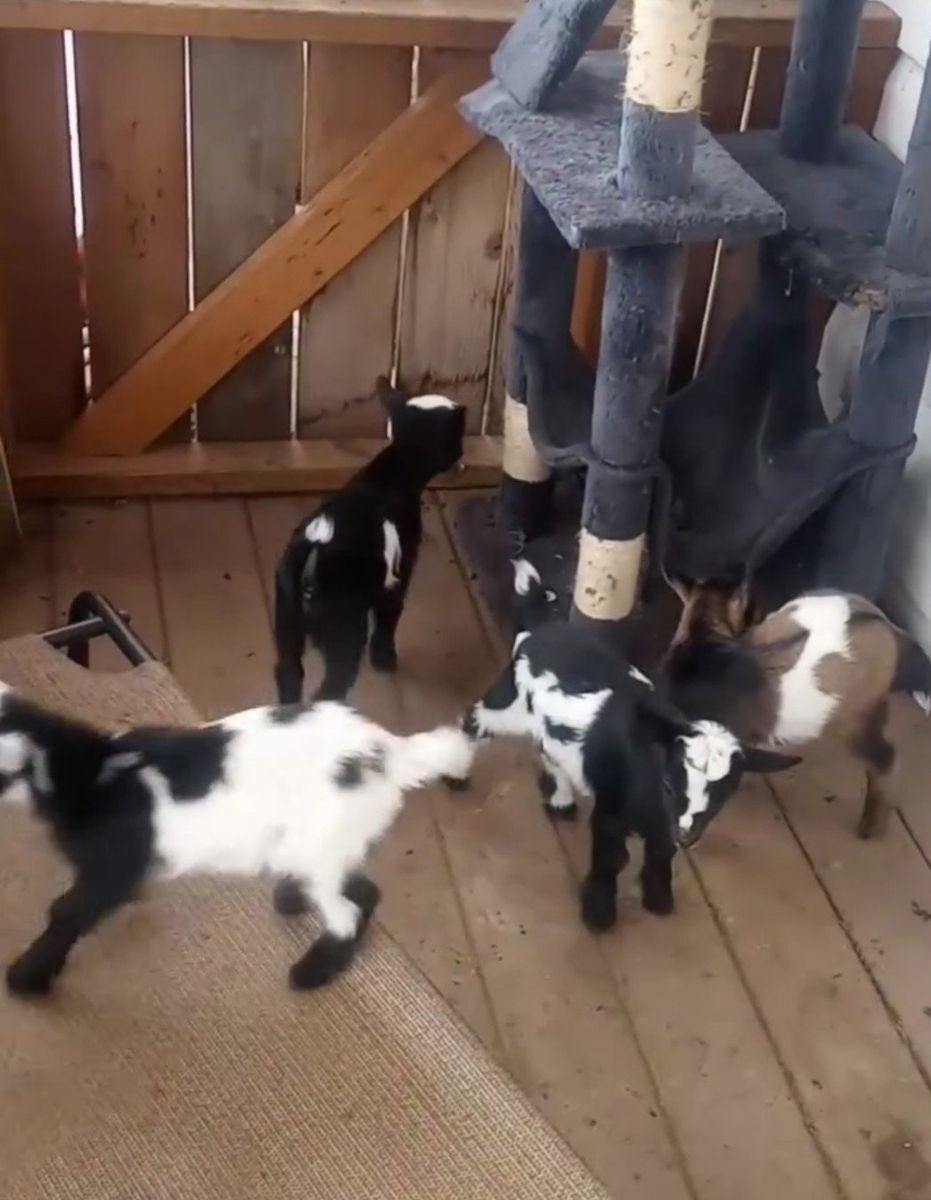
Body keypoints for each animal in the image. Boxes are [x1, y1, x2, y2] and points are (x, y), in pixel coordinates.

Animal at [0, 683, 473, 997]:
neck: (88, 769)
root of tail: (388, 752)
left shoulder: (107, 873)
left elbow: (64, 913)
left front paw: (28, 976)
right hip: (316, 844)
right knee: (363, 889)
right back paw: (295, 899)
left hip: (319, 839)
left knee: (345, 912)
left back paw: (311, 972)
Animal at [273, 379, 466, 703]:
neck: (392, 471)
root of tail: (316, 544)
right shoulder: (399, 573)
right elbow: (390, 616)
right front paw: (385, 659)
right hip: (343, 627)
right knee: (332, 686)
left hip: (286, 620)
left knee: (288, 671)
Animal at [457, 562, 785, 932]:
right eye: (669, 783)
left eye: (723, 793)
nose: (688, 834)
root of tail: (542, 627)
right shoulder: (611, 810)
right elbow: (611, 858)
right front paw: (598, 912)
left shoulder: (664, 826)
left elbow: (659, 854)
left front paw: (658, 899)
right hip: (508, 702)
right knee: (475, 720)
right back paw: (456, 771)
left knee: (548, 750)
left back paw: (560, 800)